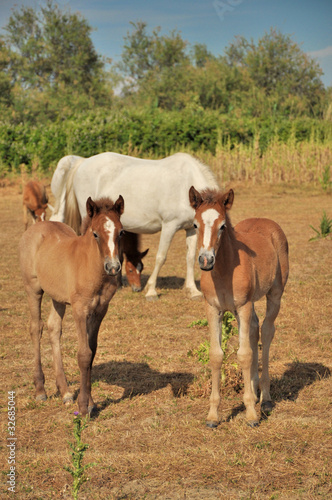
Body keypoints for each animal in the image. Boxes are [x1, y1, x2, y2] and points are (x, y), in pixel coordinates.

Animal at [19, 197, 126, 416]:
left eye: (121, 232)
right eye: (95, 233)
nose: (113, 268)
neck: (91, 266)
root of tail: (35, 227)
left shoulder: (100, 310)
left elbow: (92, 352)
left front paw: (91, 403)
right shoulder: (80, 310)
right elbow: (84, 355)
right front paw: (84, 407)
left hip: (58, 298)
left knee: (53, 328)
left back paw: (65, 391)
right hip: (33, 289)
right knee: (36, 328)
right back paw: (40, 389)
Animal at [50, 152, 219, 298]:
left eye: (221, 226)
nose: (208, 261)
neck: (185, 185)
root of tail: (82, 162)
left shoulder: (190, 228)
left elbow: (190, 257)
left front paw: (193, 290)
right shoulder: (169, 226)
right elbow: (161, 257)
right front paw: (151, 291)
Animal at [189, 188, 288, 426]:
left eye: (223, 225)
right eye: (195, 224)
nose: (205, 260)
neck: (224, 270)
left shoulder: (243, 305)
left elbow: (244, 354)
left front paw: (251, 414)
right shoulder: (213, 308)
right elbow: (217, 355)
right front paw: (213, 416)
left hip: (274, 294)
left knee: (266, 331)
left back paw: (265, 399)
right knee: (253, 329)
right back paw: (254, 389)